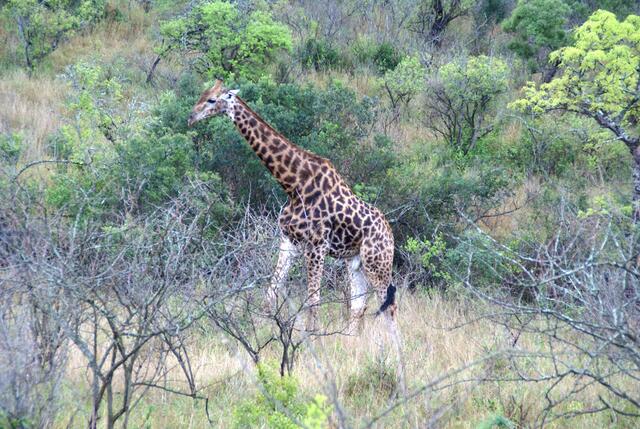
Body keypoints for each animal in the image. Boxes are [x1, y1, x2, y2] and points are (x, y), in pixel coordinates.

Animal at [188, 79, 399, 336]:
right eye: (202, 94)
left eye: (212, 99)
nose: (191, 117)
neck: (293, 184)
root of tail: (390, 235)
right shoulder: (289, 241)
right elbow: (271, 292)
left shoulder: (317, 246)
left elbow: (313, 300)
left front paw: (313, 338)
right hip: (355, 263)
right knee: (358, 306)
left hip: (377, 262)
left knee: (389, 306)